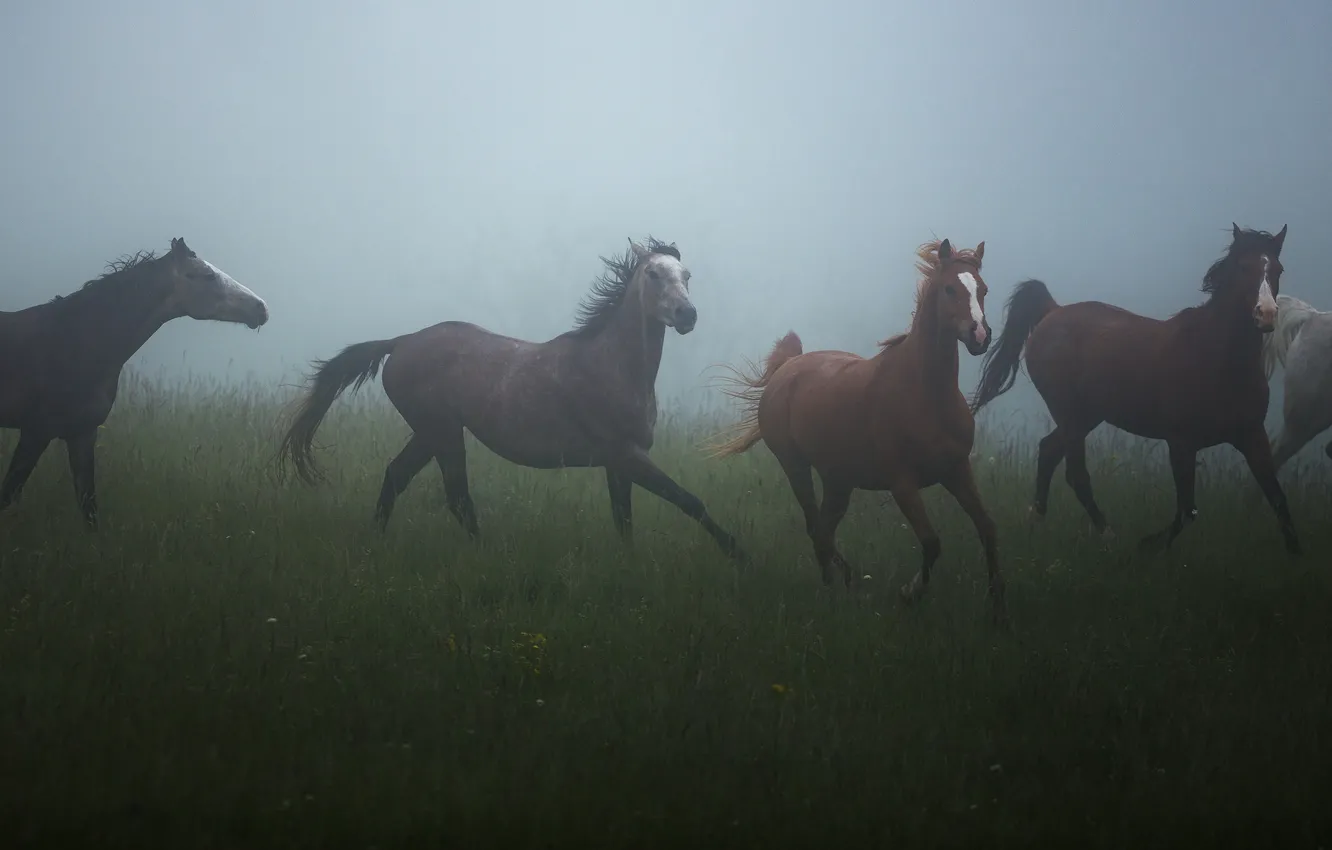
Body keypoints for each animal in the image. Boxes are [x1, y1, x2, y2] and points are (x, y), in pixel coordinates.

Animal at [0, 237, 269, 527]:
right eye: (207, 275)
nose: (261, 308)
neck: (76, 342)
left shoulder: (82, 433)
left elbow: (89, 508)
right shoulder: (36, 432)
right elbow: (8, 494)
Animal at [276, 237, 746, 560]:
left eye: (687, 276)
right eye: (653, 274)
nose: (687, 315)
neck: (612, 366)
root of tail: (402, 341)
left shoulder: (618, 464)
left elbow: (624, 519)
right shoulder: (627, 455)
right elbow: (689, 501)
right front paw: (740, 555)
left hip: (430, 433)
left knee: (396, 476)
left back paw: (376, 541)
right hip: (443, 433)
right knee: (456, 496)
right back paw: (483, 553)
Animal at [708, 239, 1006, 623]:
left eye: (982, 289)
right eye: (949, 289)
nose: (980, 336)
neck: (925, 393)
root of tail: (788, 367)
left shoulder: (956, 470)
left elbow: (987, 528)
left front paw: (999, 610)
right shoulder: (902, 483)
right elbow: (931, 543)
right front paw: (908, 593)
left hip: (838, 479)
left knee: (823, 529)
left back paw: (845, 583)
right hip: (795, 466)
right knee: (816, 529)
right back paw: (835, 592)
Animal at [969, 224, 1301, 556]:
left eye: (1278, 269)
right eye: (1244, 267)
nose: (1266, 314)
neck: (1218, 362)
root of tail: (1053, 311)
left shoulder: (1252, 436)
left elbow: (1279, 500)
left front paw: (1296, 556)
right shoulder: (1181, 443)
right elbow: (1187, 510)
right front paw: (1149, 545)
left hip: (1085, 417)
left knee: (1048, 451)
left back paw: (1036, 521)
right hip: (1070, 416)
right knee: (1076, 474)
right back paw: (1107, 535)